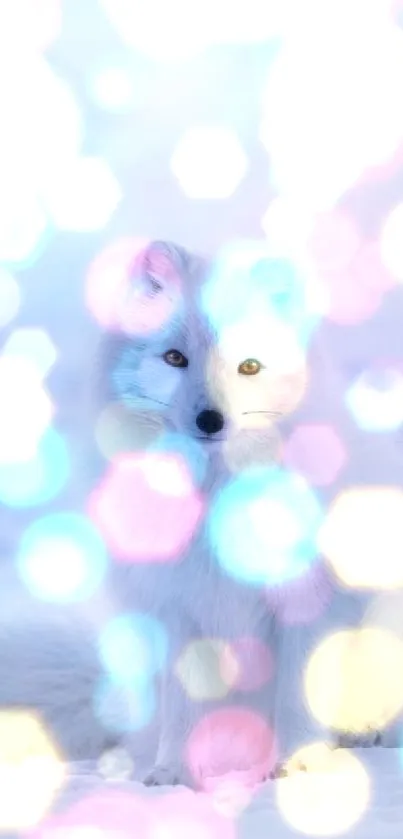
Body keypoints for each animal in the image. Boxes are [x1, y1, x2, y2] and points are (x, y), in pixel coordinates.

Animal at [0, 241, 400, 788]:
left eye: (249, 367)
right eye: (175, 358)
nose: (210, 419)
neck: (216, 500)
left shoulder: (311, 599)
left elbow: (298, 698)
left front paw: (297, 766)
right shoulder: (179, 609)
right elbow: (183, 709)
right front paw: (172, 775)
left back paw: (369, 736)